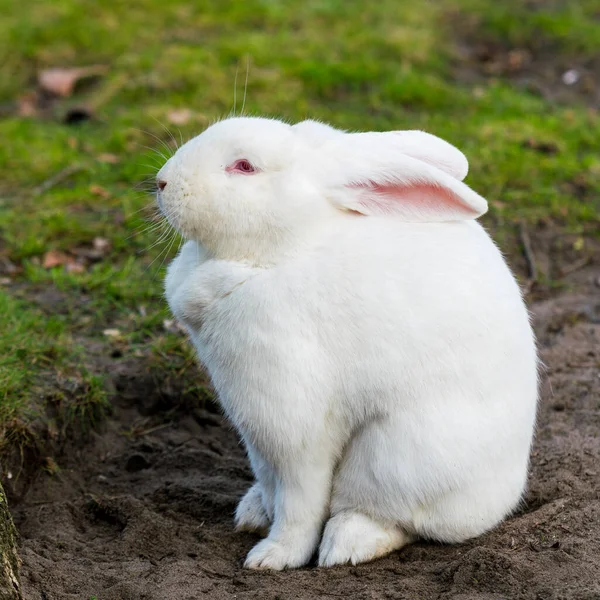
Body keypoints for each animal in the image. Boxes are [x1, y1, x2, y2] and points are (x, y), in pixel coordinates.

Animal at [158, 117, 540, 572]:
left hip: (394, 459)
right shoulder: (257, 434)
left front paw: (273, 557)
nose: (162, 182)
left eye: (245, 167)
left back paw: (347, 544)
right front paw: (261, 519)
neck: (281, 253)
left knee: (395, 519)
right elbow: (273, 483)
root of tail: (504, 496)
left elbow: (300, 501)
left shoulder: (293, 422)